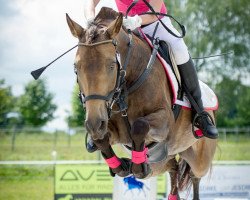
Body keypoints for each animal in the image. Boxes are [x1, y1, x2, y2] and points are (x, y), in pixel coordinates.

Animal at [66, 7, 217, 199]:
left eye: (111, 65)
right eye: (76, 68)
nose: (94, 123)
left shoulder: (164, 121)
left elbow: (139, 126)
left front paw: (137, 167)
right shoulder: (112, 128)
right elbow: (100, 138)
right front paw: (121, 166)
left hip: (199, 158)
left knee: (194, 176)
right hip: (163, 160)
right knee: (173, 168)